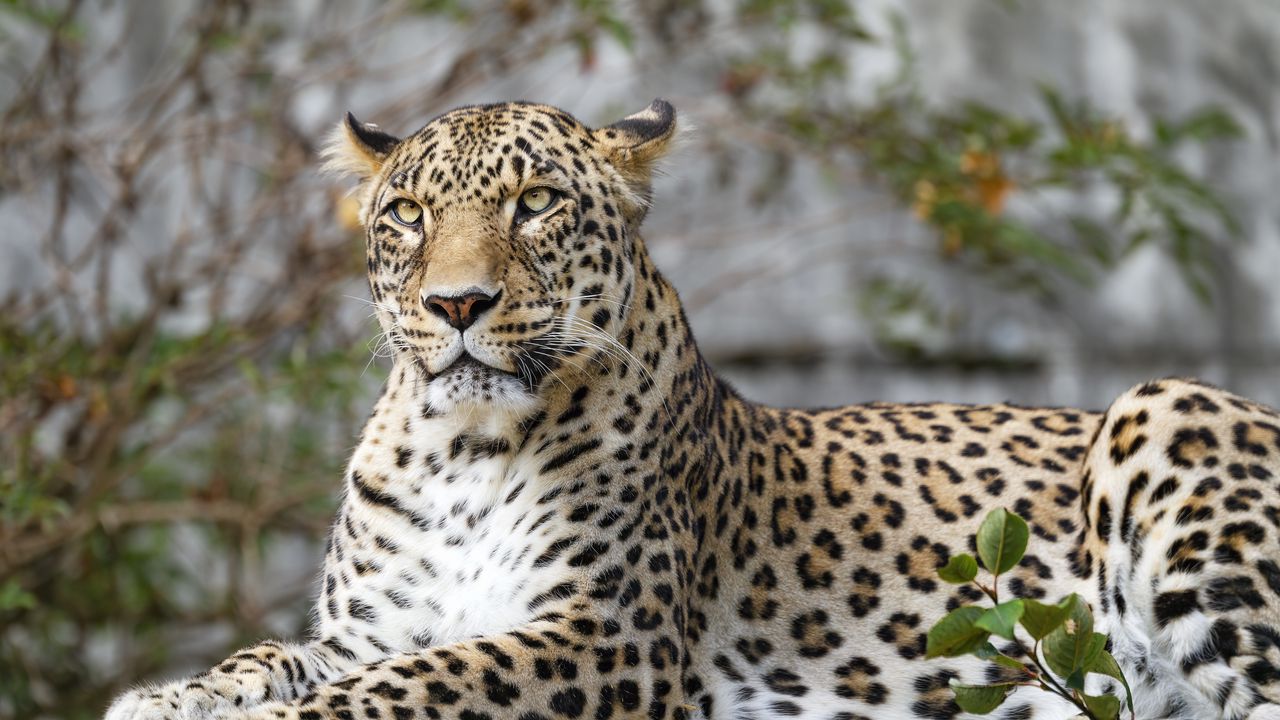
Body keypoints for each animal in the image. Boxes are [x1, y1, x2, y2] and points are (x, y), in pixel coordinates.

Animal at [102, 96, 1280, 717]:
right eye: (407, 215)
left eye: (536, 205)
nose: (456, 303)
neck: (460, 452)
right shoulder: (365, 628)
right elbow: (273, 658)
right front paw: (166, 698)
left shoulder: (603, 636)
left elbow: (415, 683)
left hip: (1163, 411)